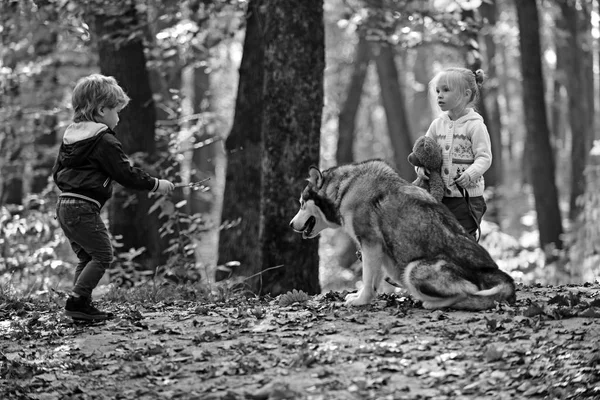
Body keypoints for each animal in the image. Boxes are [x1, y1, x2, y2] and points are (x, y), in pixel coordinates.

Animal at [288, 161, 512, 310]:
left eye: (301, 203)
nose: (290, 224)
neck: (344, 188)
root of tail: (491, 270)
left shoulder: (369, 243)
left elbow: (366, 278)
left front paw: (360, 301)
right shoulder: (377, 250)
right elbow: (373, 281)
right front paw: (365, 297)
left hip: (413, 270)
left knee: (466, 293)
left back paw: (431, 304)